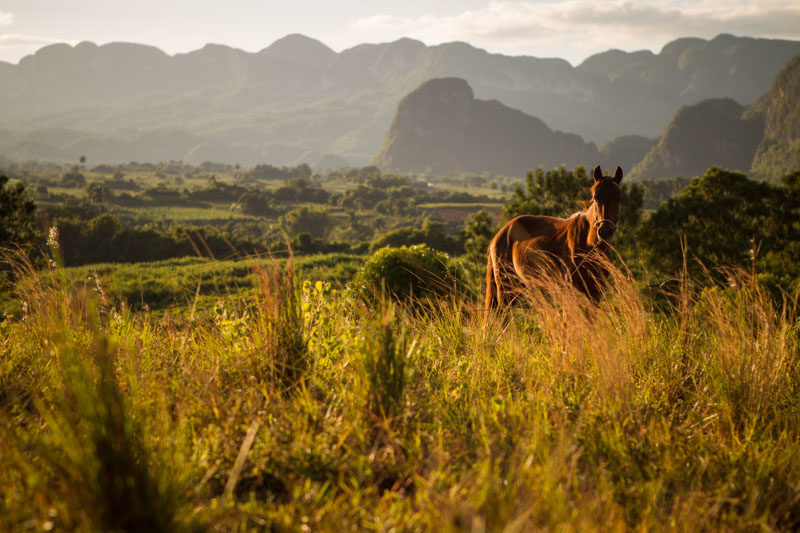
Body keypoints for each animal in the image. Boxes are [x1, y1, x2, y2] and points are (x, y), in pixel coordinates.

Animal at [482, 164, 624, 320]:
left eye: (618, 198)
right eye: (595, 196)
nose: (605, 231)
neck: (589, 245)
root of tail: (500, 234)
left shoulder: (595, 293)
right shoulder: (570, 290)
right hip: (506, 288)